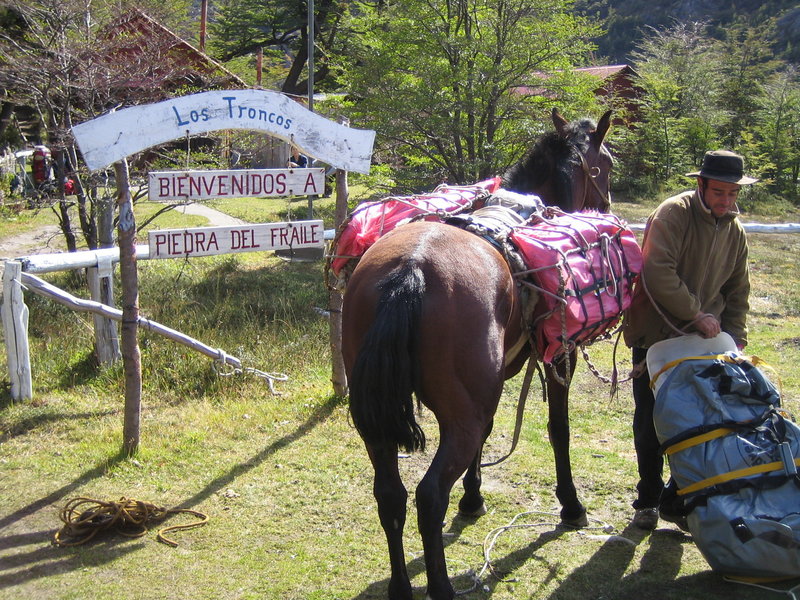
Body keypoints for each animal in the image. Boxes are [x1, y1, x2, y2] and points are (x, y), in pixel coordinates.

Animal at [342, 109, 612, 600]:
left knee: (390, 494)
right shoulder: (558, 359)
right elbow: (559, 430)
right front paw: (571, 505)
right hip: (455, 419)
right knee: (429, 496)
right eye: (609, 164)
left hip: (374, 422)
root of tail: (410, 271)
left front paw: (473, 497)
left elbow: (488, 436)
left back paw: (401, 586)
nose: (604, 206)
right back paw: (442, 586)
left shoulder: (496, 379)